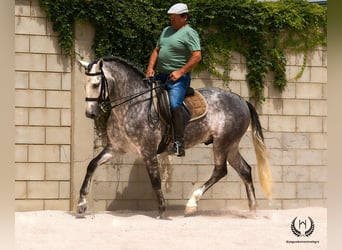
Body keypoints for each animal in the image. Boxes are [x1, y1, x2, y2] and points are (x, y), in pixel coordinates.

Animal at [77, 55, 272, 218]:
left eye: (96, 84)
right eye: (85, 84)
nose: (90, 113)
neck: (132, 105)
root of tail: (242, 100)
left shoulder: (148, 151)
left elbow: (155, 181)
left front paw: (162, 211)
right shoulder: (116, 148)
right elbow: (92, 164)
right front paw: (81, 204)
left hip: (222, 143)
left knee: (220, 170)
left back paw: (192, 203)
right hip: (231, 146)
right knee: (245, 170)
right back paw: (252, 210)